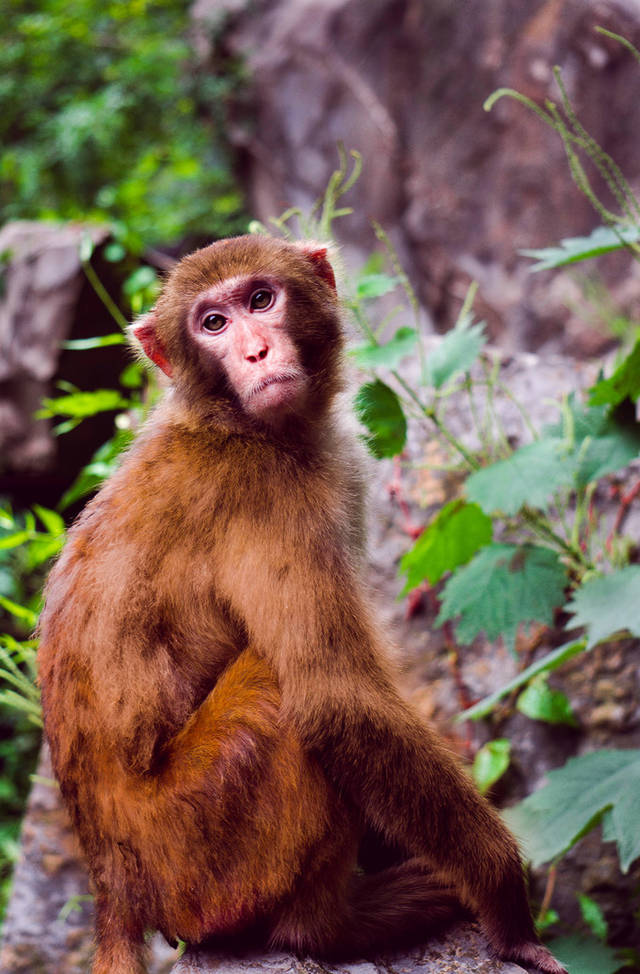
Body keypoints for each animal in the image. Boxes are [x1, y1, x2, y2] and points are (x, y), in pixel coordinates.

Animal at [36, 236, 564, 974]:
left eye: (261, 300)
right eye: (213, 324)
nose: (257, 351)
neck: (232, 423)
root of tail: (113, 887)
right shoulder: (268, 494)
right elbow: (337, 700)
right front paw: (507, 900)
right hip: (201, 855)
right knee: (276, 687)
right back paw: (325, 926)